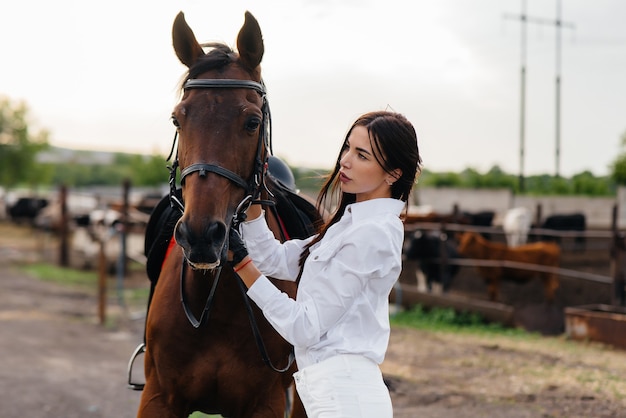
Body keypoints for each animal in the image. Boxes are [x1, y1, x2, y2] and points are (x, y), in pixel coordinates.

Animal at [135, 11, 316, 416]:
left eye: (252, 122)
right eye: (178, 120)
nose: (201, 236)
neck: (213, 302)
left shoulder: (264, 403)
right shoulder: (158, 396)